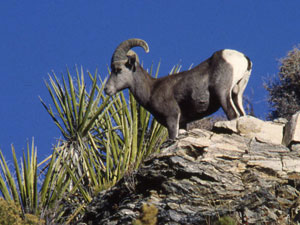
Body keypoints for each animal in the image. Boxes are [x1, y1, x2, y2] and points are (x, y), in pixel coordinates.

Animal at [104, 38, 252, 139]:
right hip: (236, 94)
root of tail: (244, 58)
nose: (106, 90)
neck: (151, 89)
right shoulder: (182, 124)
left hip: (222, 93)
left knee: (233, 114)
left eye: (118, 69)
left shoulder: (172, 117)